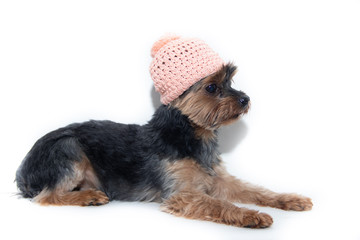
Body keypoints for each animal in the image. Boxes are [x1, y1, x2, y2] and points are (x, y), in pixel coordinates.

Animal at [15, 34, 310, 228]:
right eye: (212, 87)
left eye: (231, 81)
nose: (245, 99)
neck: (191, 133)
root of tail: (23, 172)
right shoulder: (181, 193)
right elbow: (219, 204)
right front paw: (252, 215)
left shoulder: (218, 179)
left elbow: (257, 191)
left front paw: (290, 199)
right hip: (67, 148)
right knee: (46, 196)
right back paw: (89, 196)